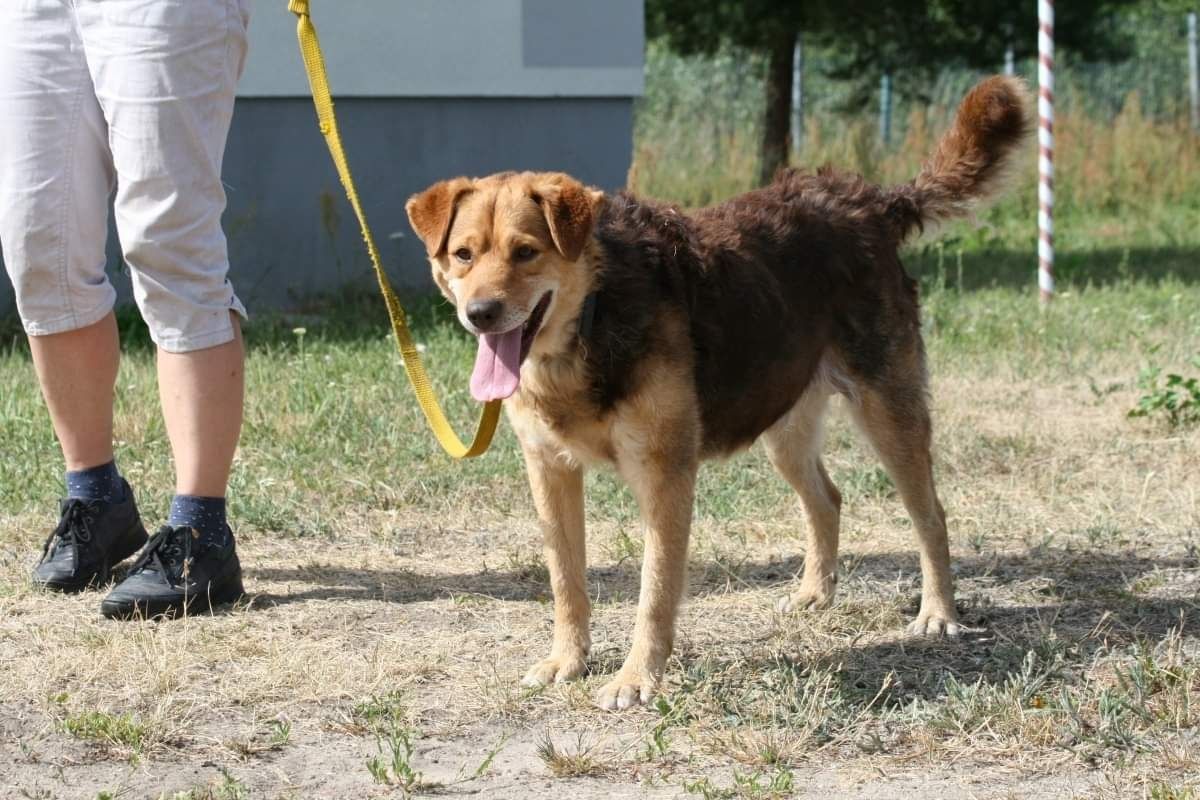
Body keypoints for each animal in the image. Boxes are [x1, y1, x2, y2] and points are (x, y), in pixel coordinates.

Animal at [405, 76, 1032, 714]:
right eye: (463, 255)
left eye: (526, 252)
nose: (480, 314)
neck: (593, 315)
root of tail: (871, 201)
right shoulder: (549, 471)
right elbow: (566, 582)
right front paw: (568, 661)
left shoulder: (664, 475)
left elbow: (655, 593)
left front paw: (637, 678)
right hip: (783, 424)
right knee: (827, 499)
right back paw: (815, 594)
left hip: (888, 415)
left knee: (931, 515)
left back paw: (939, 614)